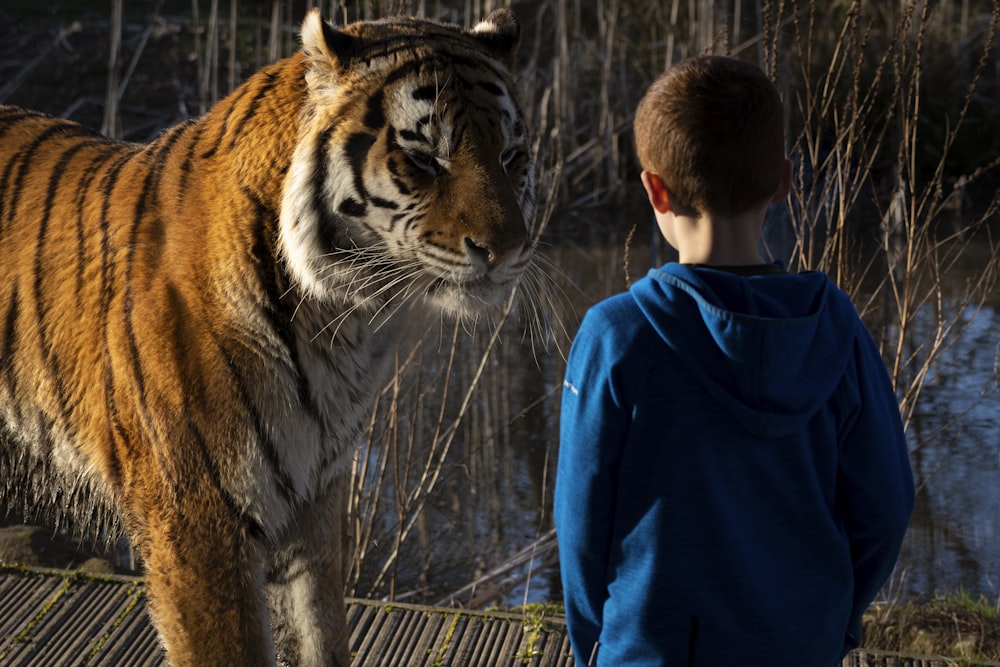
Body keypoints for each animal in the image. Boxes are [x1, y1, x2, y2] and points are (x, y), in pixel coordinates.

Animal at [0, 7, 540, 664]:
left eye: (512, 156)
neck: (346, 321)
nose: (507, 250)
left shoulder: (313, 497)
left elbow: (319, 634)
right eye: (423, 160)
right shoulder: (196, 518)